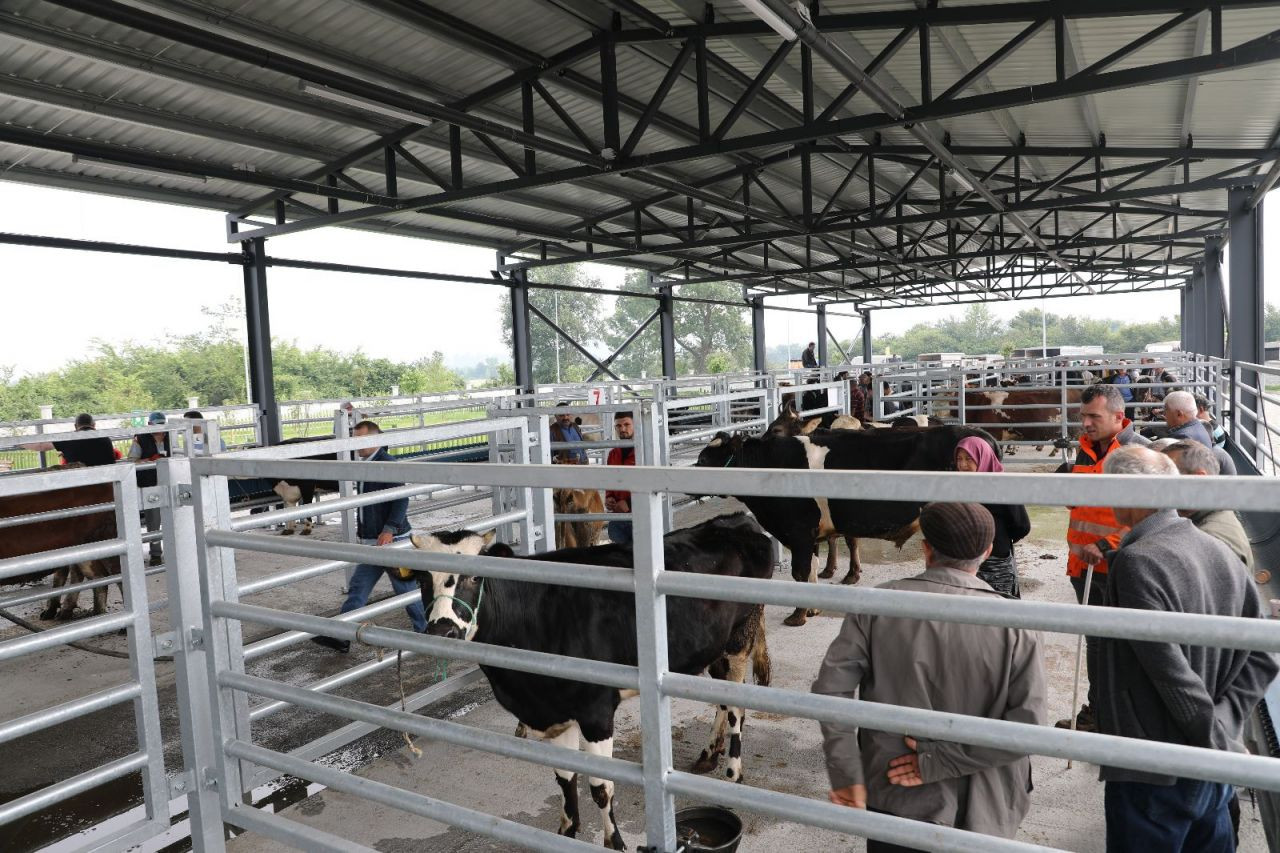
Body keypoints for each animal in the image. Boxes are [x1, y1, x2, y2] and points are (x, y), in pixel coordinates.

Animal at [409, 514, 768, 845]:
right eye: (422, 578)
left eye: (474, 576)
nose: (443, 630)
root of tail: (734, 520)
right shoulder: (552, 713)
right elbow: (565, 778)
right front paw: (566, 832)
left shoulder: (596, 712)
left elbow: (601, 787)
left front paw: (615, 842)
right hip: (714, 646)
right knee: (722, 697)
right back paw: (709, 753)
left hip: (740, 636)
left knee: (736, 705)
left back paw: (733, 771)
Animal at [701, 425, 998, 625]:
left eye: (703, 460)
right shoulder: (811, 535)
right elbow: (812, 570)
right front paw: (812, 609)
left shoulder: (798, 532)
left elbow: (800, 573)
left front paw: (797, 616)